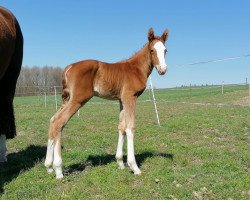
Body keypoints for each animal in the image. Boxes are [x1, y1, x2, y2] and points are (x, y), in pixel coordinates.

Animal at [45, 27, 169, 178]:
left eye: (165, 50)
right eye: (152, 50)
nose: (163, 69)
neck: (136, 68)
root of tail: (69, 67)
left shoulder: (121, 100)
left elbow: (121, 127)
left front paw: (120, 162)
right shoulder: (130, 97)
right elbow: (130, 128)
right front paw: (134, 166)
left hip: (68, 99)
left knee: (53, 120)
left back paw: (49, 166)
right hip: (77, 99)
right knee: (59, 122)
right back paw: (58, 170)